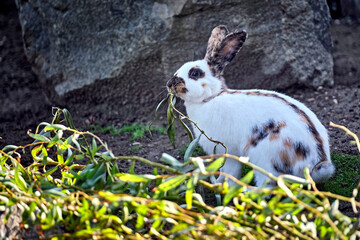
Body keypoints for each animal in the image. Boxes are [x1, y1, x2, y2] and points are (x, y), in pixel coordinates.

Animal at [166, 25, 334, 188]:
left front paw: (222, 187)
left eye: (195, 73)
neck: (210, 98)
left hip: (264, 159)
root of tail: (317, 164)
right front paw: (217, 181)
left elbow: (230, 172)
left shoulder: (227, 151)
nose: (169, 84)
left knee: (267, 186)